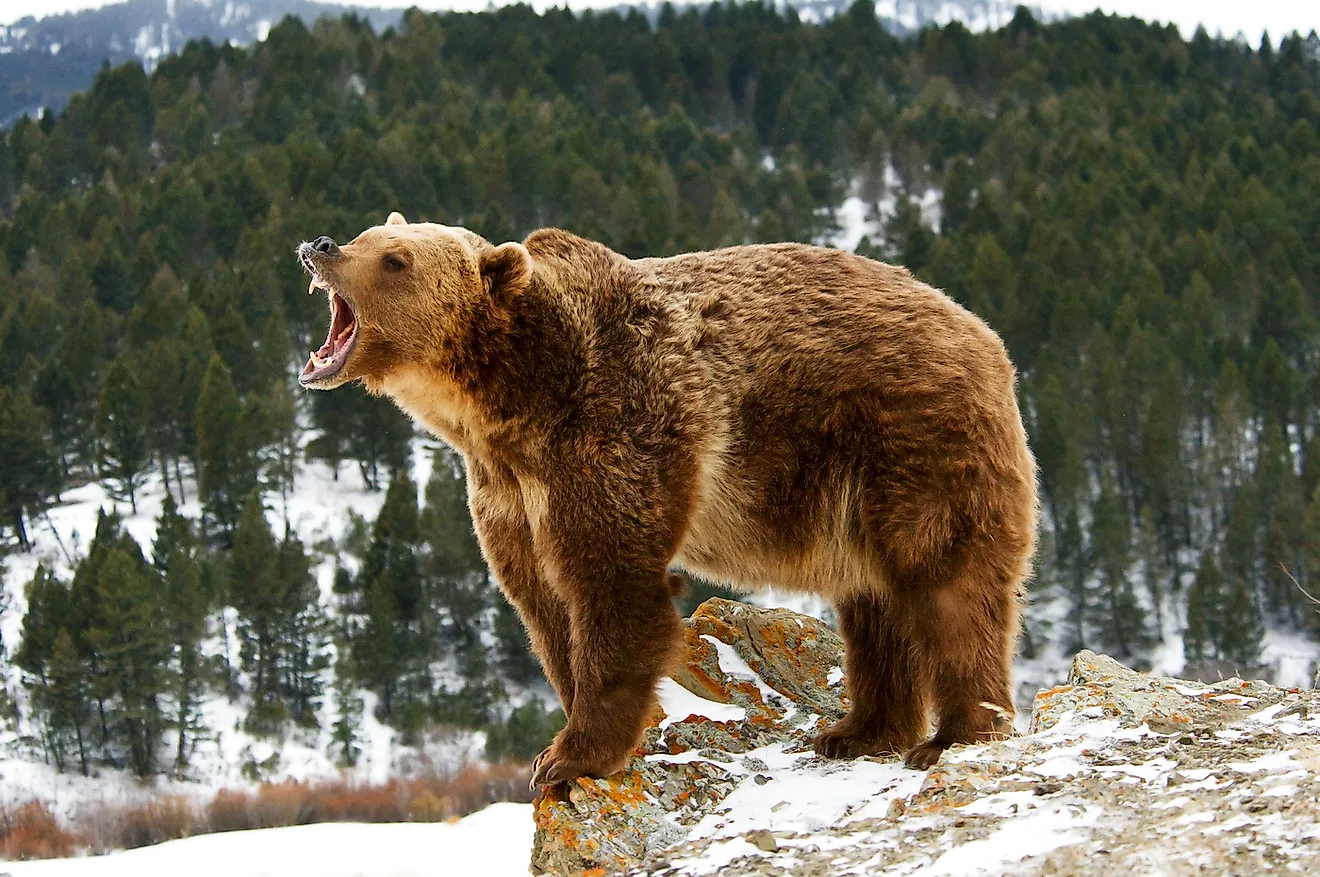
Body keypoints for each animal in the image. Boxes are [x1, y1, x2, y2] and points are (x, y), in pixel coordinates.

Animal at [299, 213, 1040, 787]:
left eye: (395, 259)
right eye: (371, 234)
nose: (322, 245)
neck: (510, 405)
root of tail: (986, 336)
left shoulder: (617, 429)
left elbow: (613, 586)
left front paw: (570, 757)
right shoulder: (507, 492)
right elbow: (544, 606)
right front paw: (565, 736)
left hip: (912, 438)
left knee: (946, 582)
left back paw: (953, 734)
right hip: (853, 493)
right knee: (874, 600)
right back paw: (857, 729)